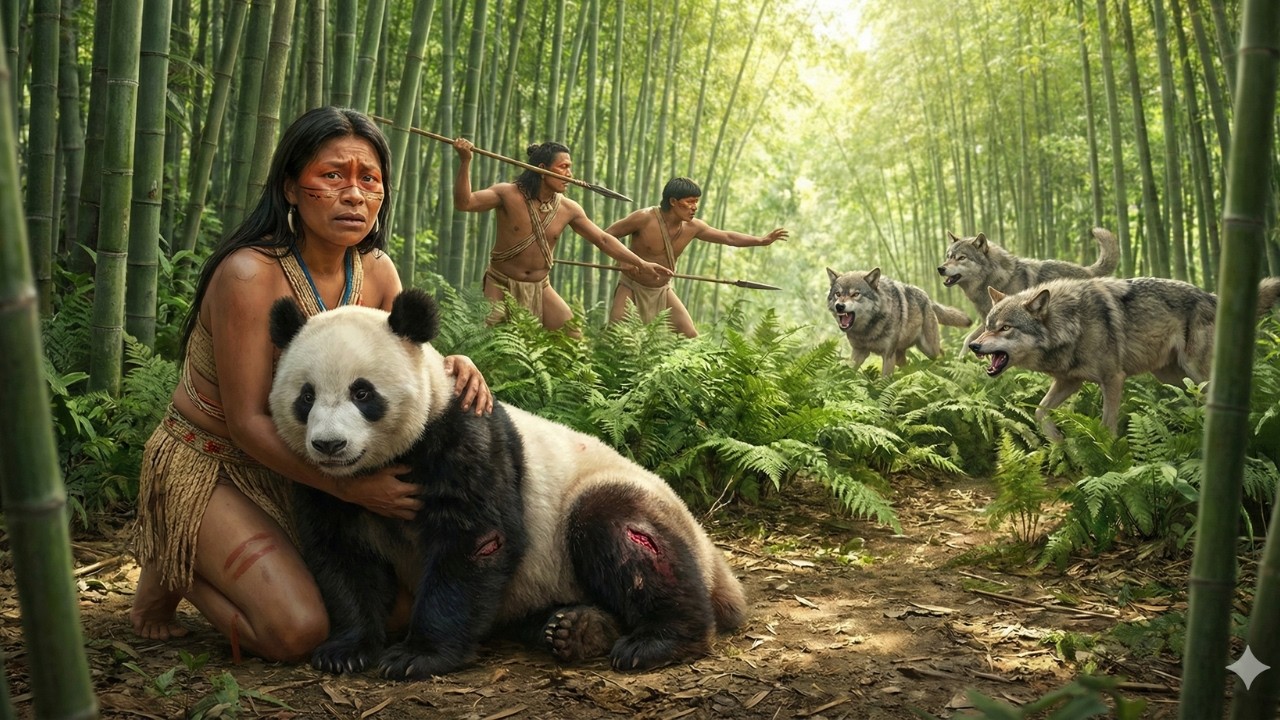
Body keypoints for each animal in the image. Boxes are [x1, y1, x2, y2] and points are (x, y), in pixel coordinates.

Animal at [267, 288, 747, 680]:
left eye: (363, 393)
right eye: (306, 396)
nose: (329, 445)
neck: (384, 464)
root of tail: (712, 555)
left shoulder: (462, 438)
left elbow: (477, 539)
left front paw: (416, 656)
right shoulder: (329, 490)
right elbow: (342, 553)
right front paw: (345, 650)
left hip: (607, 505)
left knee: (622, 532)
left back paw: (659, 640)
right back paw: (576, 629)